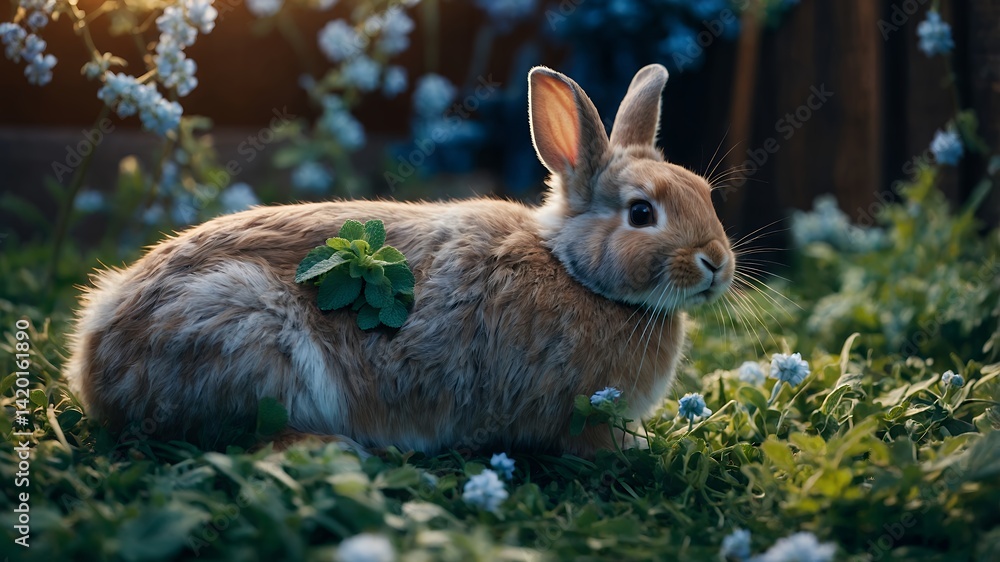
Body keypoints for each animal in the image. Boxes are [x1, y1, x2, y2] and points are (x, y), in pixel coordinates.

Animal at [65, 63, 735, 457]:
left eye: (705, 193)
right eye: (642, 213)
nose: (717, 263)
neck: (574, 271)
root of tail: (95, 359)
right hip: (248, 331)